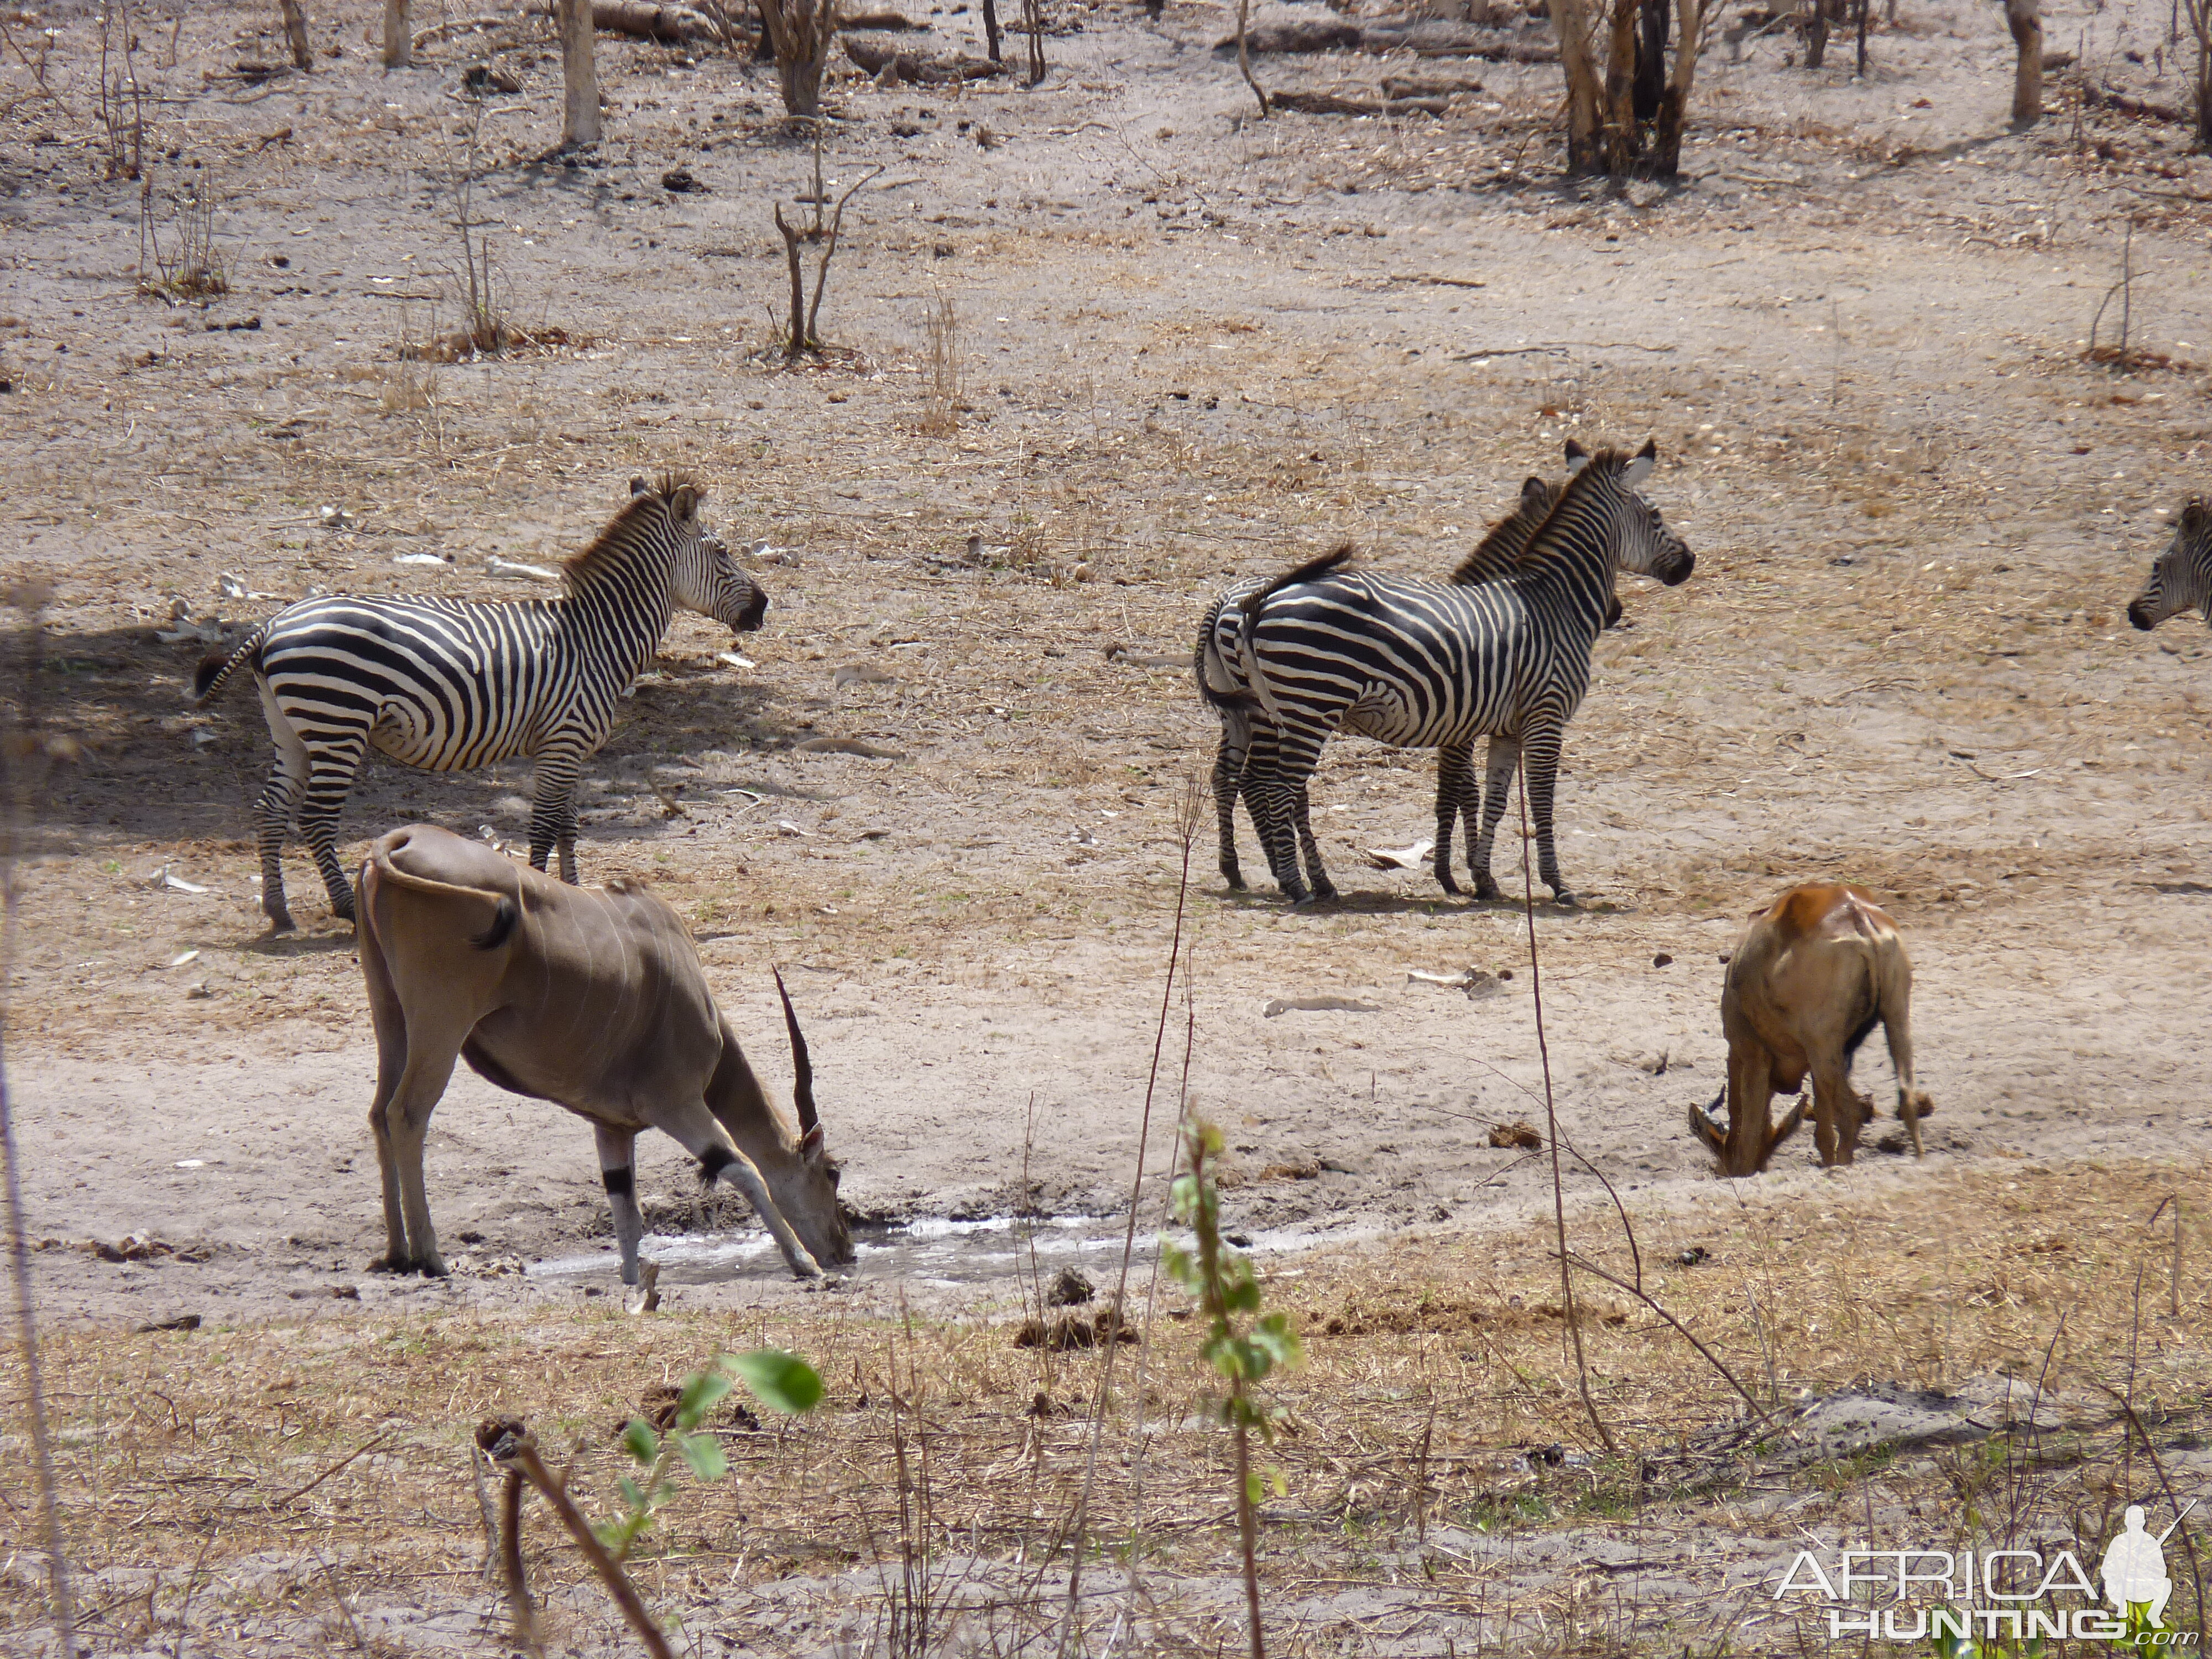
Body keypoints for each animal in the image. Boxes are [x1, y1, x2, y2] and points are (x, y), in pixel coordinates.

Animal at [199, 473, 770, 938]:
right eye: (722, 552)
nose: (764, 606)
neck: (596, 639)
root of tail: (273, 624)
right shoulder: (563, 740)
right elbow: (544, 825)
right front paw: (543, 896)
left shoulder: (567, 748)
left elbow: (568, 825)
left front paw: (575, 892)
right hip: (339, 721)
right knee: (316, 816)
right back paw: (344, 909)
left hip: (293, 729)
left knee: (271, 809)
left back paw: (278, 910)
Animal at [358, 827, 849, 1283]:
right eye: (831, 1173)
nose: (844, 1249)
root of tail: (400, 839)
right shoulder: (676, 1104)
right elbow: (743, 1169)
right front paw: (803, 1263)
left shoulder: (612, 1127)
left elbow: (625, 1209)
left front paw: (632, 1284)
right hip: (442, 1021)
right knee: (407, 1111)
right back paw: (430, 1256)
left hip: (392, 1016)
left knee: (380, 1112)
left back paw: (397, 1252)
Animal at [1212, 442, 1690, 911]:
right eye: (1656, 516)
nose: (1690, 562)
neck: (1556, 602)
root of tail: (1260, 599)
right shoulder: (1543, 716)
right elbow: (1534, 800)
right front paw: (1554, 883)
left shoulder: (1501, 726)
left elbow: (1495, 798)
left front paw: (1483, 878)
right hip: (1311, 704)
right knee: (1279, 788)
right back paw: (1298, 885)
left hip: (1274, 710)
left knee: (1251, 781)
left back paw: (1265, 875)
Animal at [1690, 885, 1938, 1186]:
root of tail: (1854, 911)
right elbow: (1823, 1130)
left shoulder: (1752, 1054)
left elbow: (1749, 1135)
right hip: (1894, 1019)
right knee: (1906, 1099)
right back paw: (1919, 1160)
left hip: (1823, 1046)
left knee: (1852, 1113)